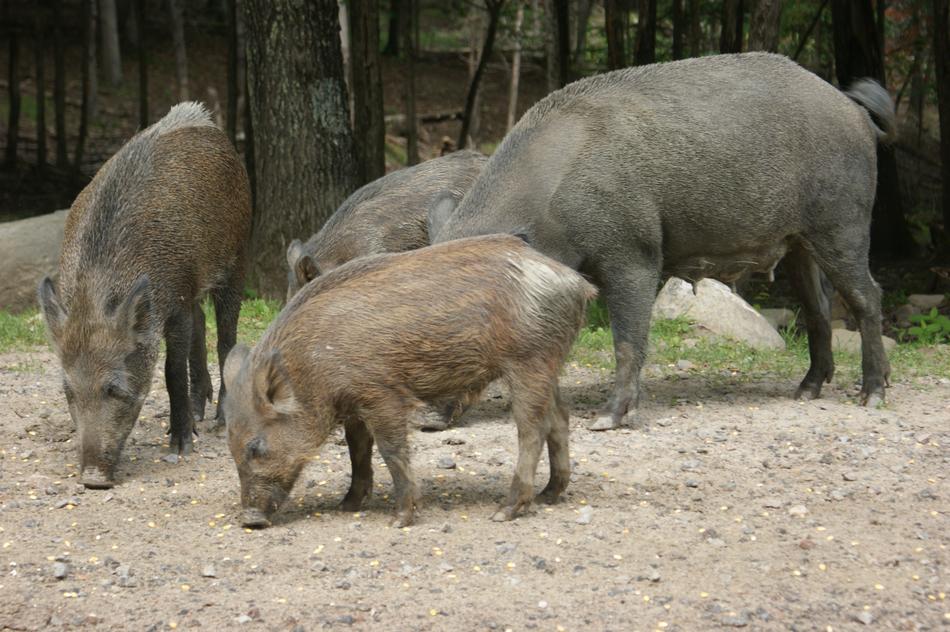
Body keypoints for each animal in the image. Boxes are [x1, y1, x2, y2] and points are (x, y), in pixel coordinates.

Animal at [38, 102, 252, 488]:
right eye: (69, 391)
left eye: (113, 388)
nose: (93, 478)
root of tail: (203, 118)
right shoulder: (180, 297)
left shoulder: (176, 299)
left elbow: (171, 370)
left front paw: (180, 447)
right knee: (202, 323)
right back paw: (199, 412)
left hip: (237, 258)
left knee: (226, 337)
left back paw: (218, 419)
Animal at [223, 235, 596, 528]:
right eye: (231, 447)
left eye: (255, 446)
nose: (250, 520)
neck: (310, 366)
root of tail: (578, 284)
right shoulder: (354, 403)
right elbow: (358, 450)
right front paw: (347, 505)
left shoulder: (382, 393)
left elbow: (390, 449)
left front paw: (400, 519)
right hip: (548, 363)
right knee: (560, 418)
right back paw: (549, 495)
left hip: (528, 361)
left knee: (532, 429)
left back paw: (505, 511)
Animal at [429, 53, 894, 430]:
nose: (426, 421)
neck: (548, 208)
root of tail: (853, 108)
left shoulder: (633, 253)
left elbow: (627, 340)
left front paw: (605, 421)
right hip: (798, 242)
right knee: (817, 309)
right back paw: (805, 391)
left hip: (844, 222)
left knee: (867, 296)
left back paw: (871, 397)